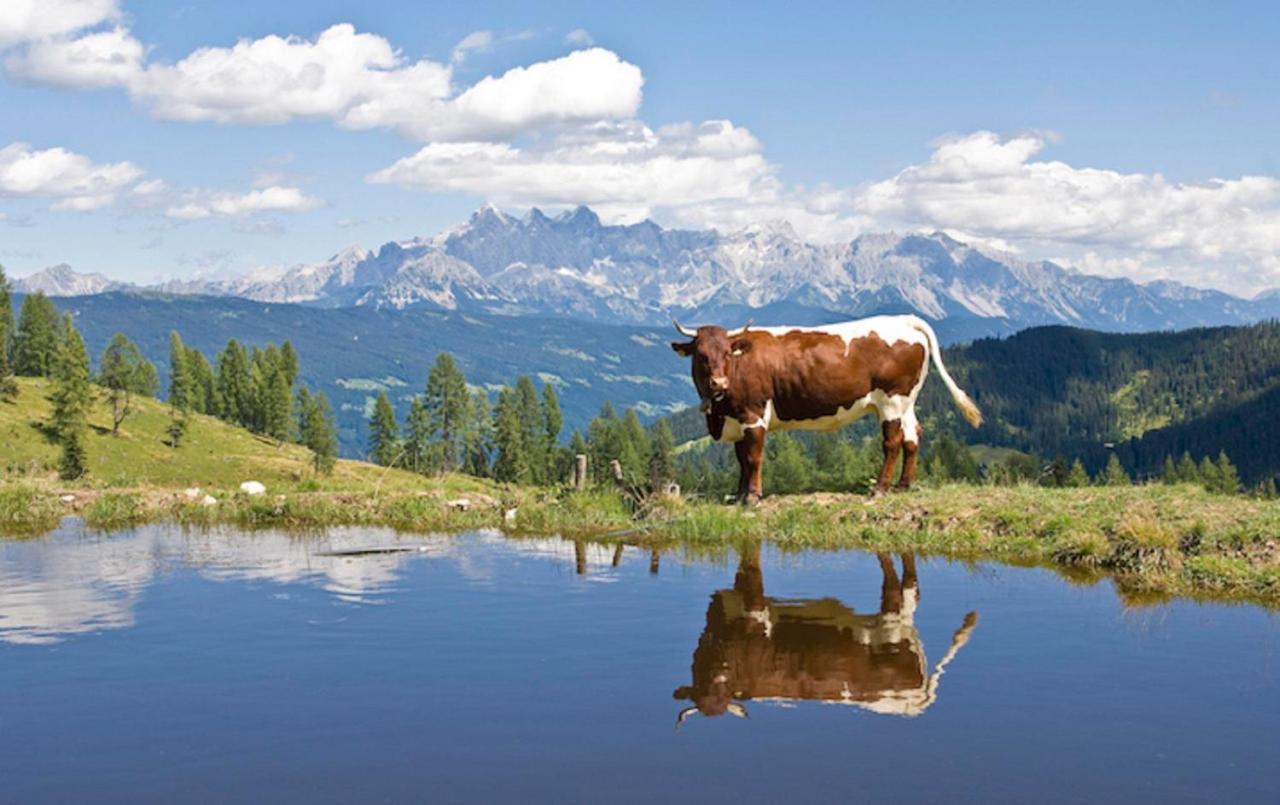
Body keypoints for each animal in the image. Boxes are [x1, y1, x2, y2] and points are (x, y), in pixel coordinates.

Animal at [670, 312, 977, 496]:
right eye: (700, 355)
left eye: (726, 353)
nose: (719, 383)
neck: (719, 413)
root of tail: (903, 319)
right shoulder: (738, 419)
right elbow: (741, 460)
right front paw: (739, 495)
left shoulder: (753, 414)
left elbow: (753, 458)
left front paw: (753, 496)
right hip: (907, 401)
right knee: (913, 436)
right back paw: (903, 484)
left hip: (891, 400)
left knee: (892, 442)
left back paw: (880, 487)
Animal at [675, 545, 972, 721]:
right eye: (702, 686)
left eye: (722, 684)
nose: (717, 666)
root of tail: (915, 704)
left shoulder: (756, 611)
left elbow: (753, 576)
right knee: (912, 592)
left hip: (889, 628)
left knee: (899, 593)